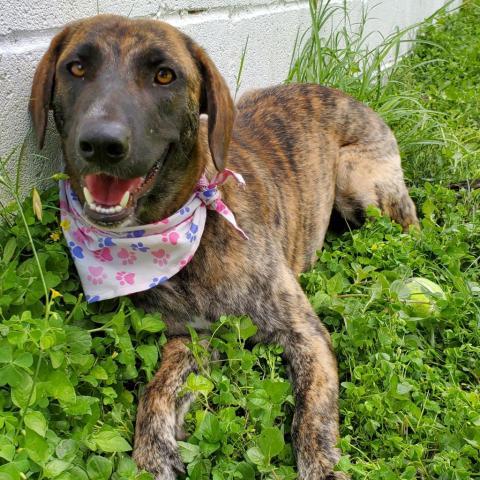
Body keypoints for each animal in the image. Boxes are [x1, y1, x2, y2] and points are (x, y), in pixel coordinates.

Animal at [30, 13, 420, 478]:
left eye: (165, 75)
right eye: (76, 68)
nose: (103, 144)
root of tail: (345, 95)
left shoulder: (306, 335)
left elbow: (313, 414)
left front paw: (322, 466)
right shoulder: (193, 339)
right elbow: (156, 389)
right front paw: (153, 454)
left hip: (360, 184)